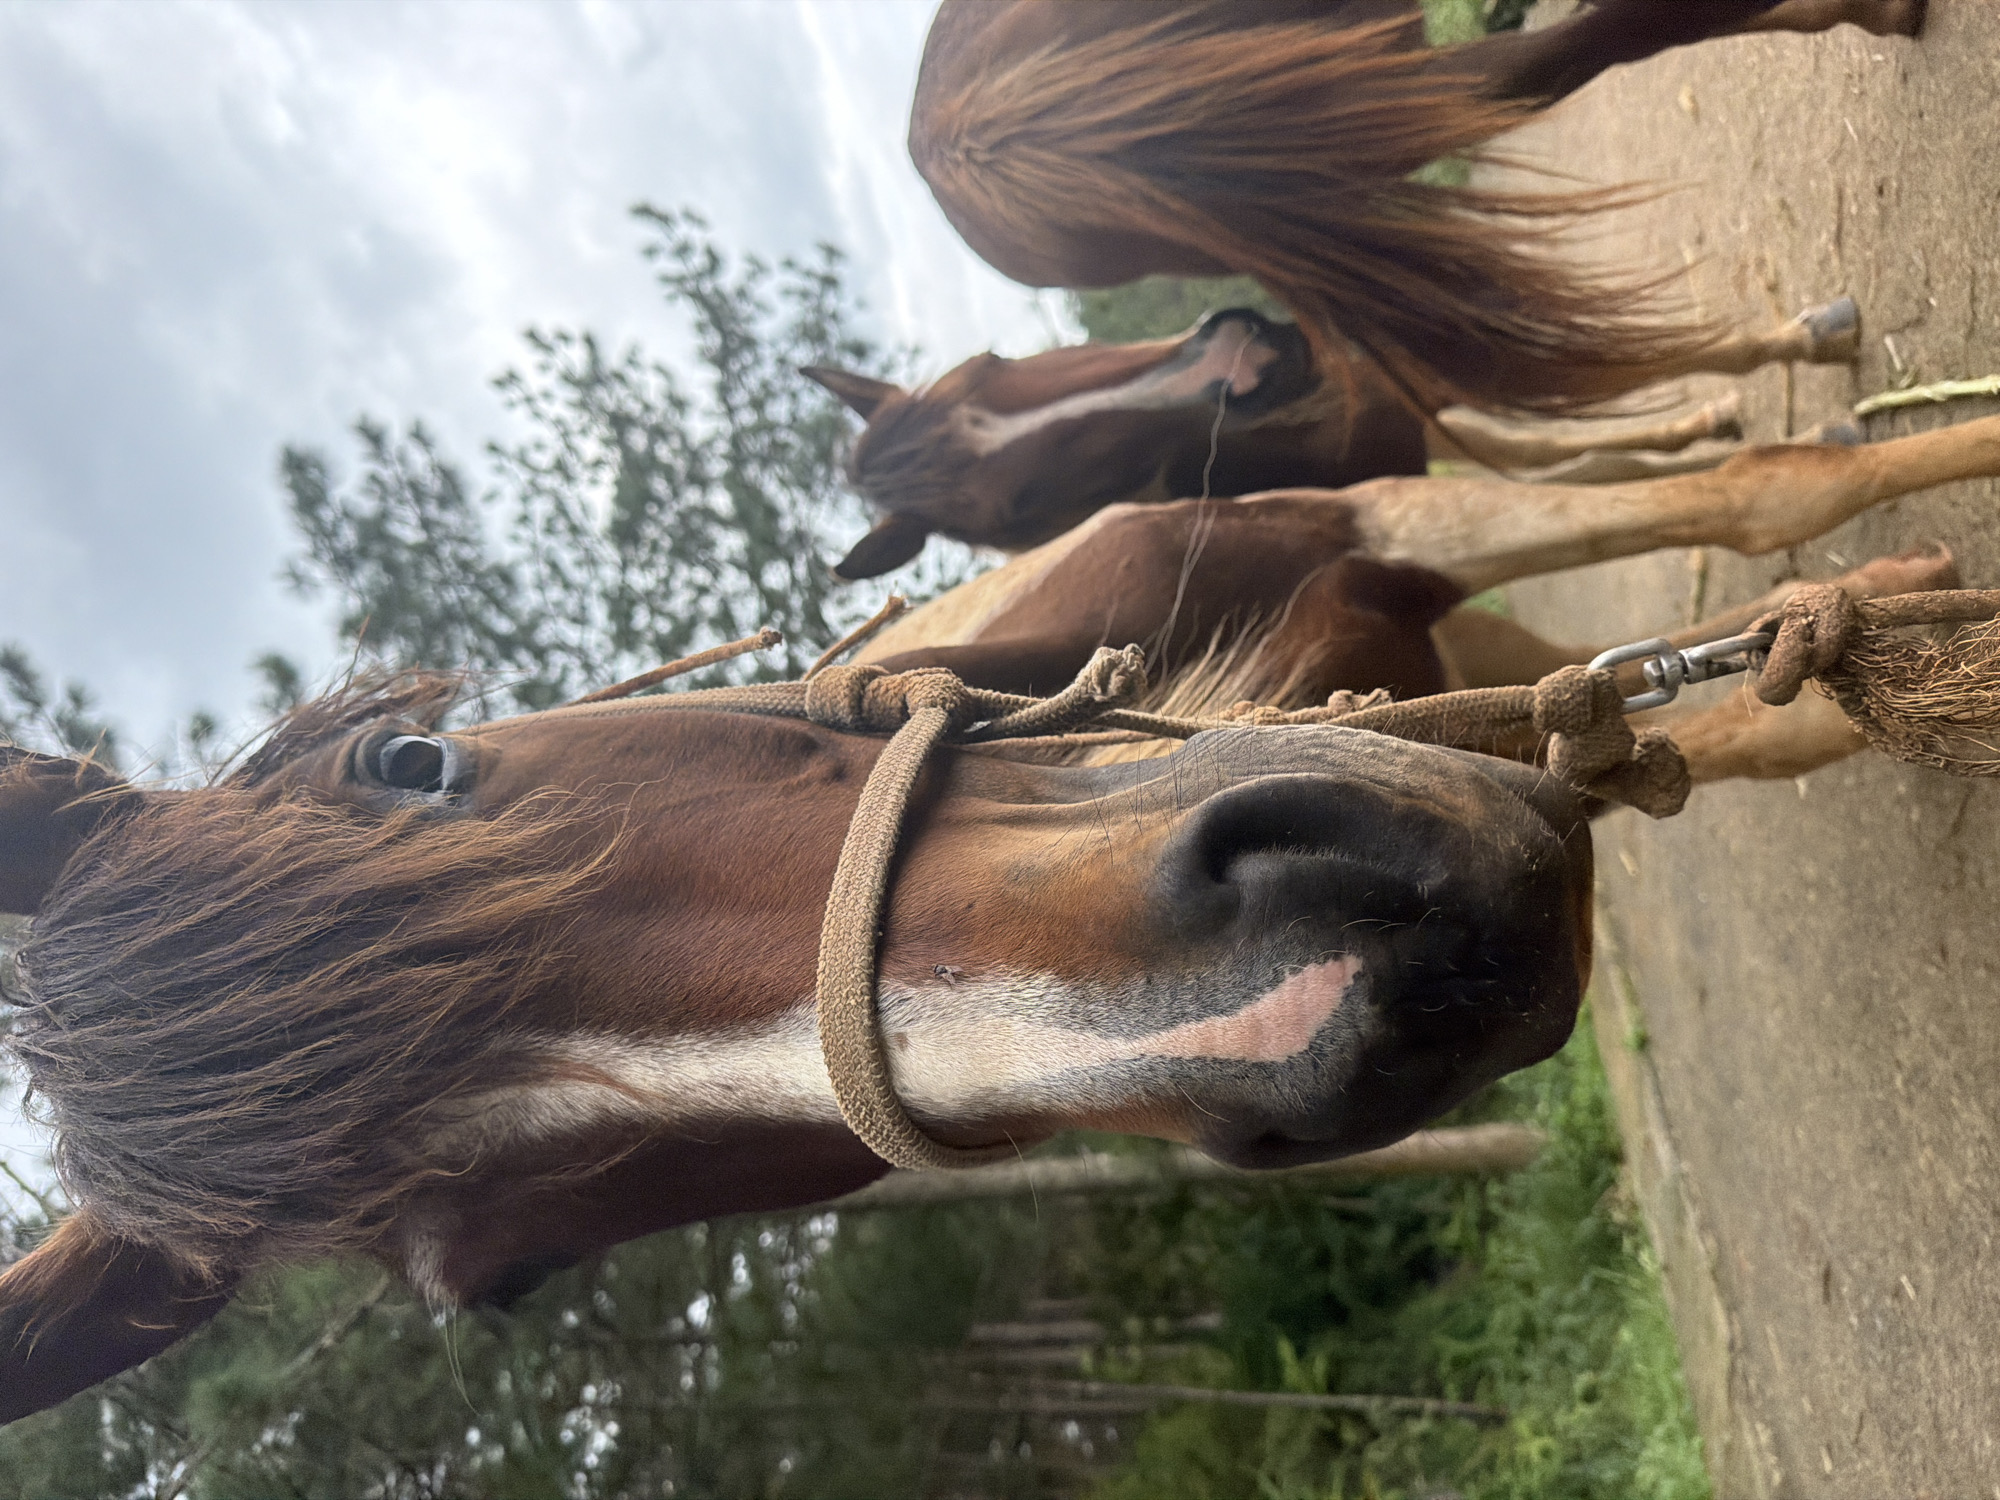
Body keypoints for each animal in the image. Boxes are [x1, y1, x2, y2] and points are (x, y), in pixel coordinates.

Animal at [3, 409, 1995, 1427]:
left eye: (415, 763)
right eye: (509, 1278)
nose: (1342, 987)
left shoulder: (1375, 522)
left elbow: (1765, 512)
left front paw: (1911, 561)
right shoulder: (1438, 690)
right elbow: (1681, 718)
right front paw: (1873, 659)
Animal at [808, 297, 1861, 579]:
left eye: (988, 360)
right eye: (1020, 510)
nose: (1242, 358)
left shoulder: (1399, 382)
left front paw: (1807, 345)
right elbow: (1582, 464)